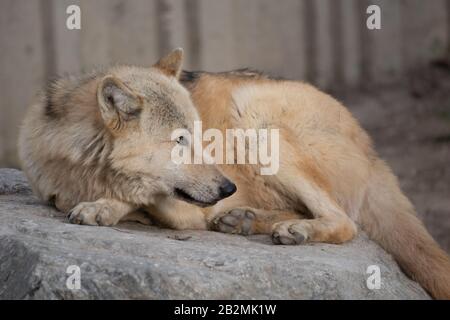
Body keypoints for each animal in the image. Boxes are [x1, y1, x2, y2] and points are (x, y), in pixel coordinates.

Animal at [20, 48, 450, 298]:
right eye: (180, 140)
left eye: (201, 136)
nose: (228, 187)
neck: (84, 166)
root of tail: (372, 148)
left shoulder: (186, 210)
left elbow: (142, 196)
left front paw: (103, 207)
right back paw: (245, 219)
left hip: (258, 123)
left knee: (346, 223)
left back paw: (287, 228)